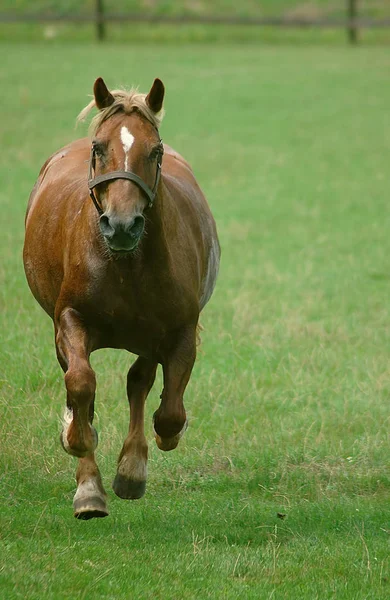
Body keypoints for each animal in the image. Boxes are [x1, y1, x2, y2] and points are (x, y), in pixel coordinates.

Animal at [23, 77, 219, 516]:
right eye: (99, 147)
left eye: (155, 150)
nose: (122, 225)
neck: (125, 264)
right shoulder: (70, 319)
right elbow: (80, 385)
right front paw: (87, 486)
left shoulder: (178, 330)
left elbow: (168, 412)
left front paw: (141, 459)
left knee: (139, 382)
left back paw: (132, 468)